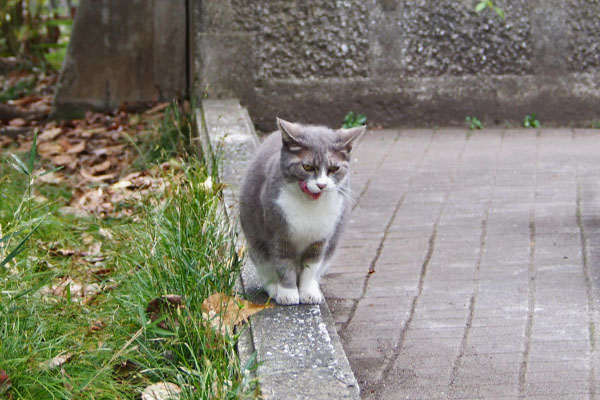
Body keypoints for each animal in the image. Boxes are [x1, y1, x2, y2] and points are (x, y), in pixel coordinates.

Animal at [240, 117, 366, 304]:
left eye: (334, 169)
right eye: (307, 167)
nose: (321, 184)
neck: (309, 205)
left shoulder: (320, 239)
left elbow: (311, 267)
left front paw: (308, 292)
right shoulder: (279, 235)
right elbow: (283, 264)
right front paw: (288, 293)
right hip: (257, 249)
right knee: (267, 273)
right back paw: (274, 289)